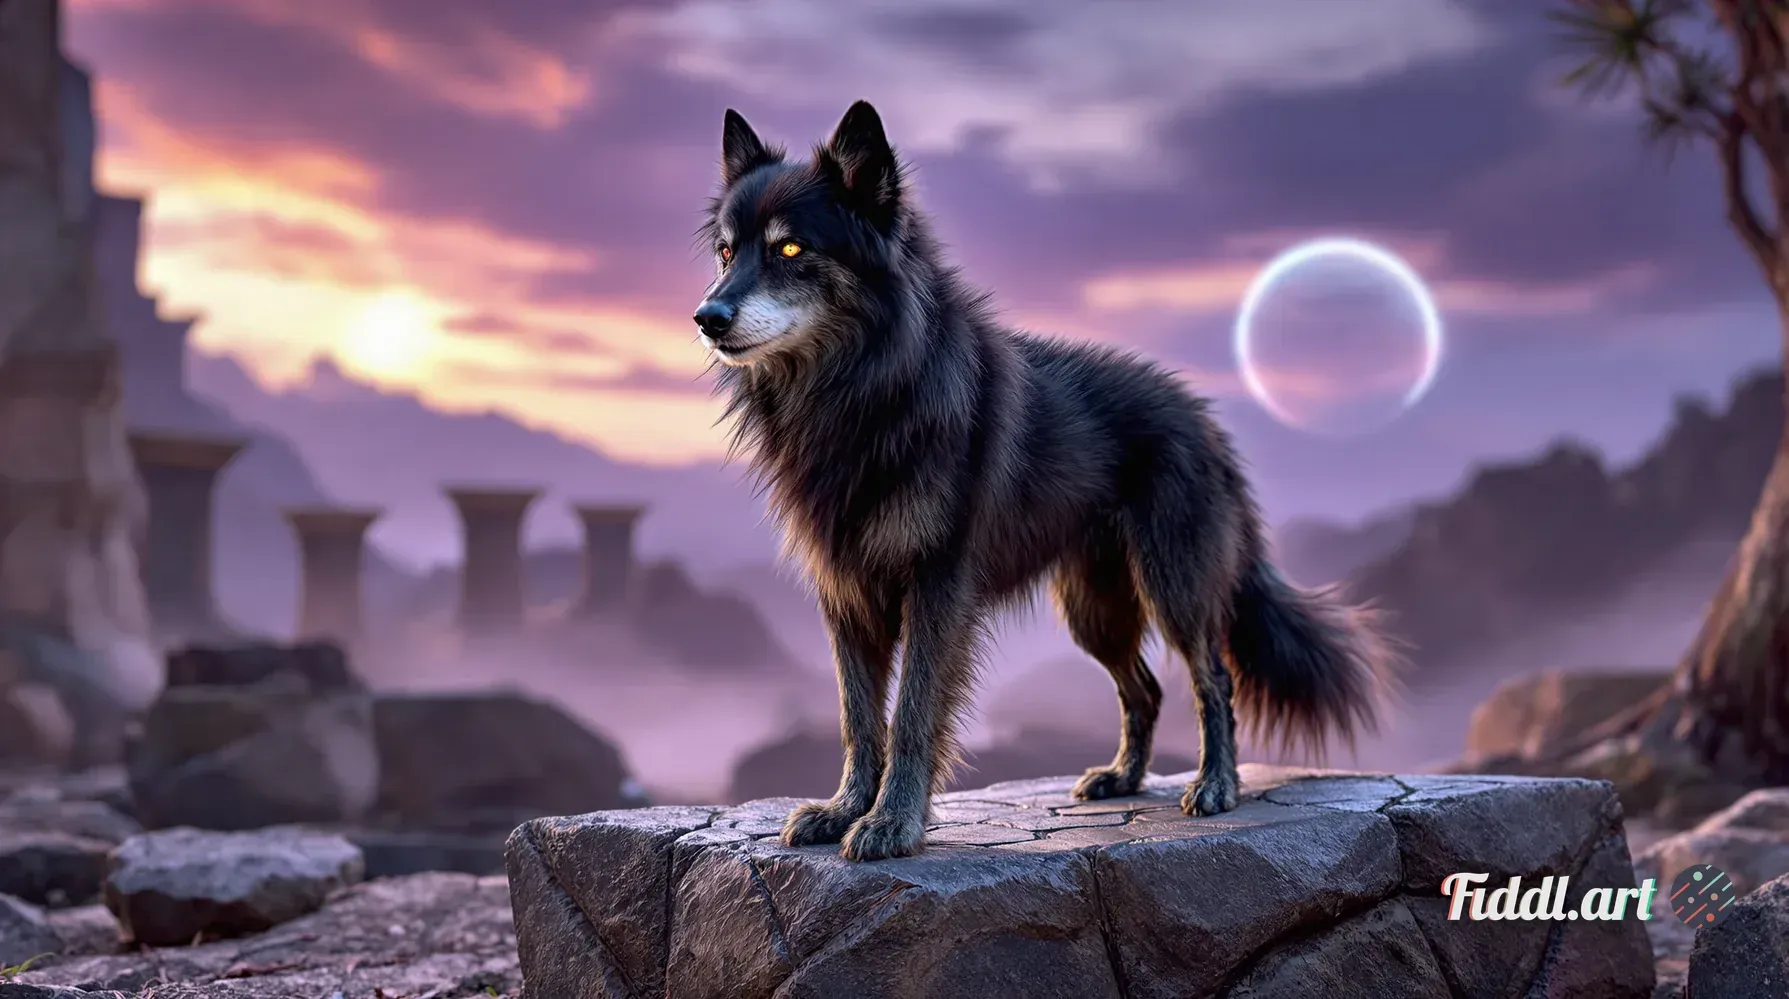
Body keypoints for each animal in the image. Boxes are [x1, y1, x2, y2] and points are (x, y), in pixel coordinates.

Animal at [692, 100, 1397, 862]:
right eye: (727, 253)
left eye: (791, 250)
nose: (706, 318)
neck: (866, 388)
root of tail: (1202, 418)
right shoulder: (846, 594)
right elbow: (858, 716)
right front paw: (844, 808)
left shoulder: (937, 590)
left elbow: (912, 713)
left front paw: (891, 823)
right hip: (1094, 609)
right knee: (1144, 690)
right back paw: (1122, 778)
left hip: (1172, 586)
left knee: (1214, 680)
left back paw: (1215, 785)